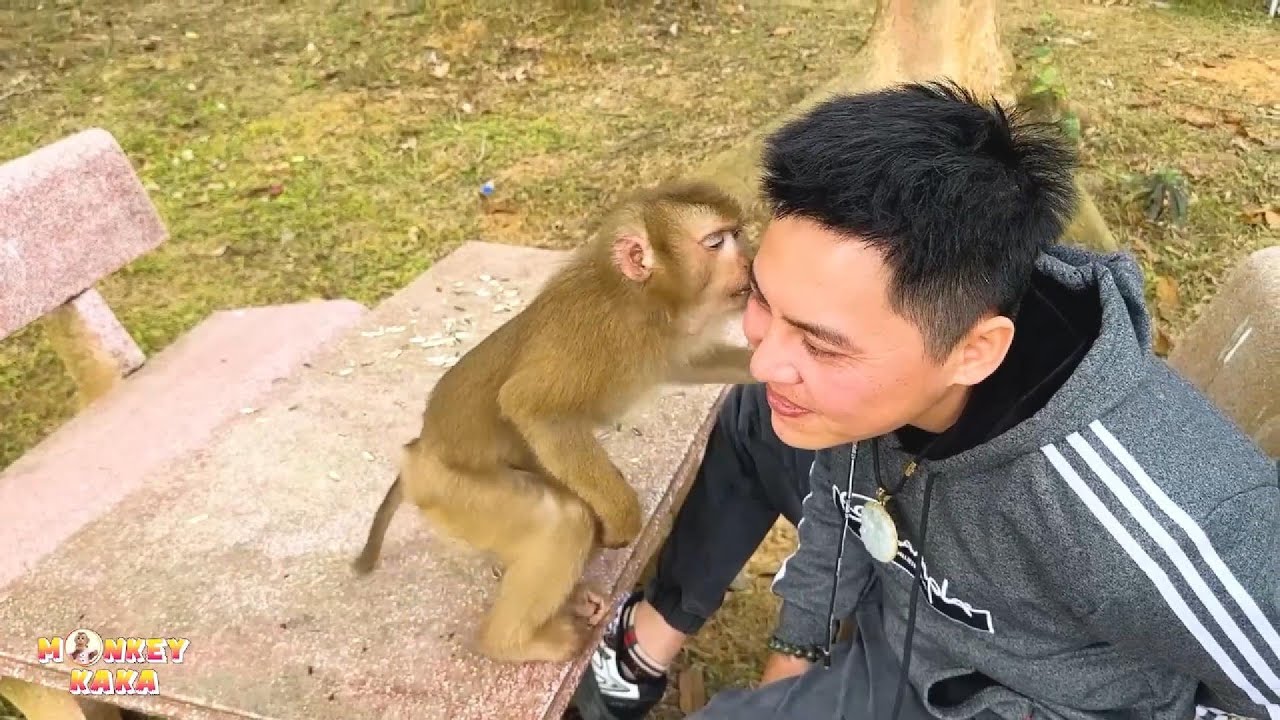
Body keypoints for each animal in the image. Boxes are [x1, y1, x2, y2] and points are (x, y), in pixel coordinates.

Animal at [351, 179, 756, 664]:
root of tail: (420, 449)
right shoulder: (601, 332)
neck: (641, 299)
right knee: (559, 517)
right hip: (450, 490)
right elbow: (532, 407)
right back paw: (513, 642)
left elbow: (690, 364)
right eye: (716, 243)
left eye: (737, 234)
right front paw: (624, 520)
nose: (751, 261)